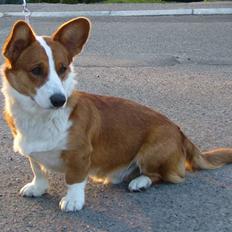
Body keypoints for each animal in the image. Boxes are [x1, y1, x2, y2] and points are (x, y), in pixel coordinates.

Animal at [1, 17, 232, 211]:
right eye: (36, 70)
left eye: (63, 68)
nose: (60, 100)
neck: (38, 117)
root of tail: (180, 133)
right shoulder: (33, 153)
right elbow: (38, 170)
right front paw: (37, 187)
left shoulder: (80, 154)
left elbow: (74, 180)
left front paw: (73, 200)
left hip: (152, 152)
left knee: (165, 176)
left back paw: (139, 182)